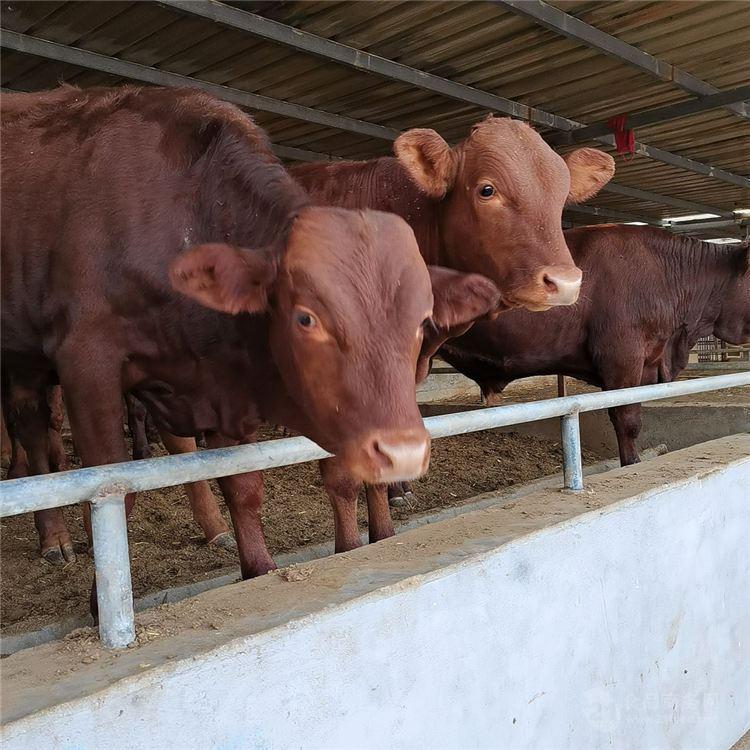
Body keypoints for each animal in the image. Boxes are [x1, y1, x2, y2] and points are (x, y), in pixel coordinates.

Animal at [1, 85, 500, 584]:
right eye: (306, 318)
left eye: (420, 320)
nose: (403, 451)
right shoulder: (87, 363)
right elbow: (112, 497)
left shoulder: (217, 380)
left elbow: (243, 487)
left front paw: (258, 569)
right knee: (35, 441)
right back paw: (53, 538)